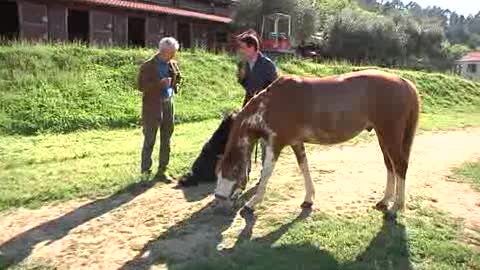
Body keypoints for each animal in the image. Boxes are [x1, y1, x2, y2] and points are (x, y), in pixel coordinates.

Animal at [215, 69, 420, 217]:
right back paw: (385, 201)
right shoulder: (296, 142)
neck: (272, 103)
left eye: (232, 171)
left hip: (389, 135)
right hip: (382, 136)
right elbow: (304, 167)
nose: (219, 200)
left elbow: (266, 173)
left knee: (400, 165)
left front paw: (251, 204)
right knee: (390, 165)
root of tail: (404, 82)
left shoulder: (276, 143)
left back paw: (396, 208)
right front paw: (308, 199)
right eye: (217, 172)